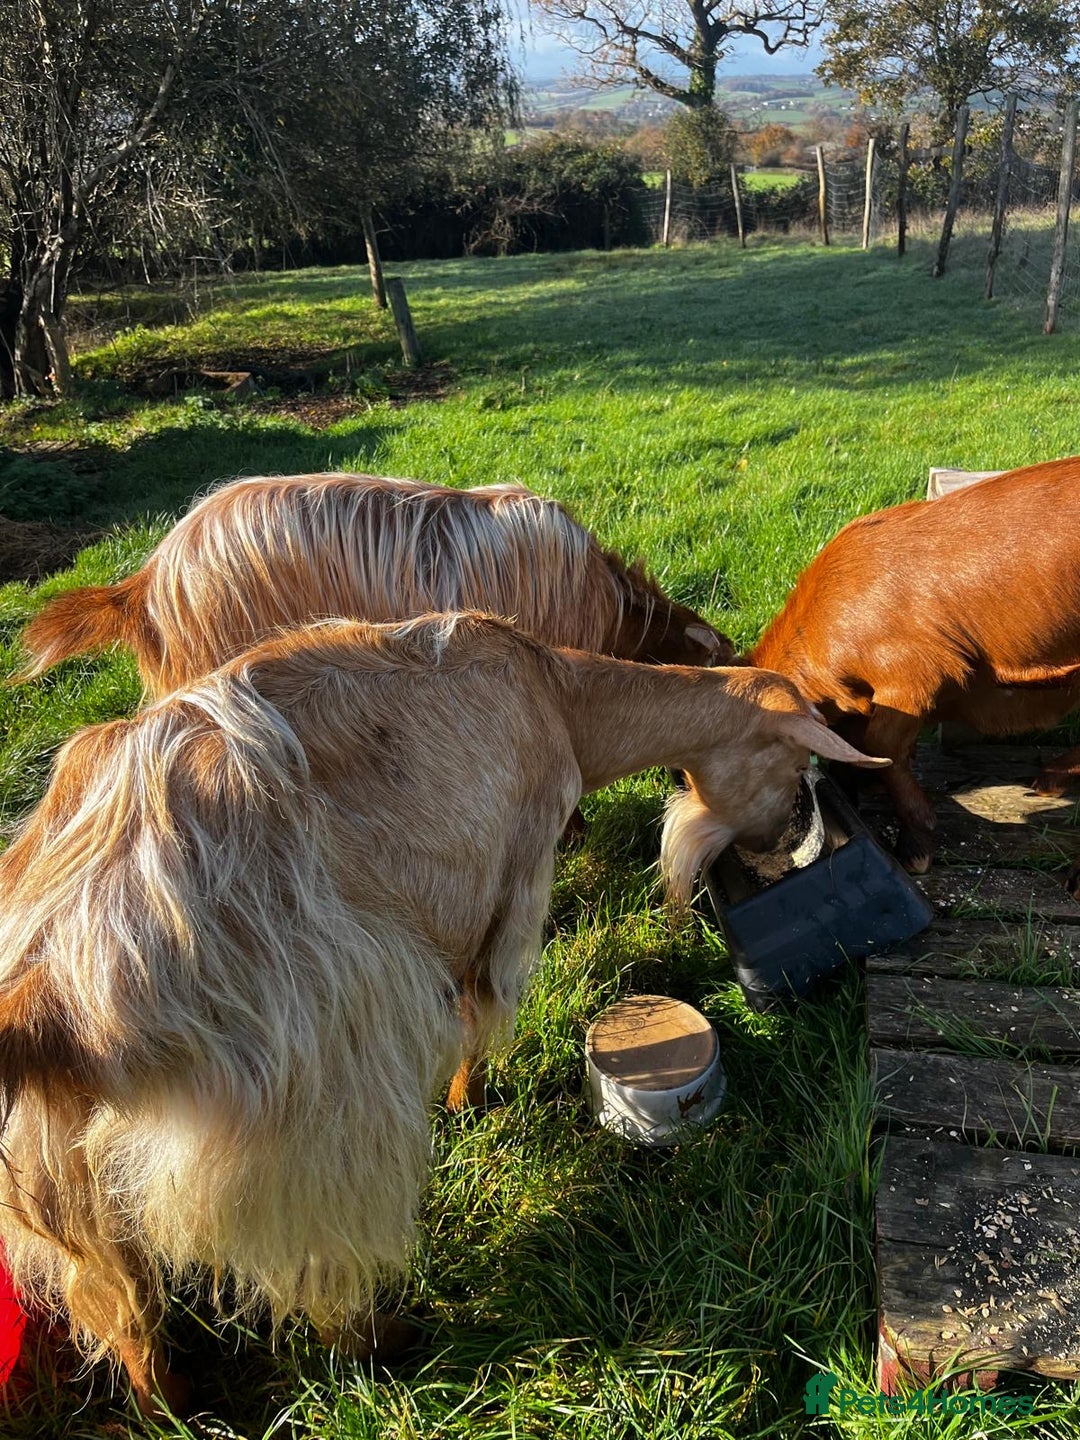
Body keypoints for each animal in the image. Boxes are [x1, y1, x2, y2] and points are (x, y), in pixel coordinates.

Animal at [0, 613, 883, 1417]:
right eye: (796, 762)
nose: (788, 842)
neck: (559, 699)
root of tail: (50, 995)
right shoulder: (506, 879)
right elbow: (476, 1013)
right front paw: (470, 1102)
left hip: (60, 1175)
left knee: (123, 1308)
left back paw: (177, 1406)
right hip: (311, 1103)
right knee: (320, 1258)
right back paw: (382, 1341)